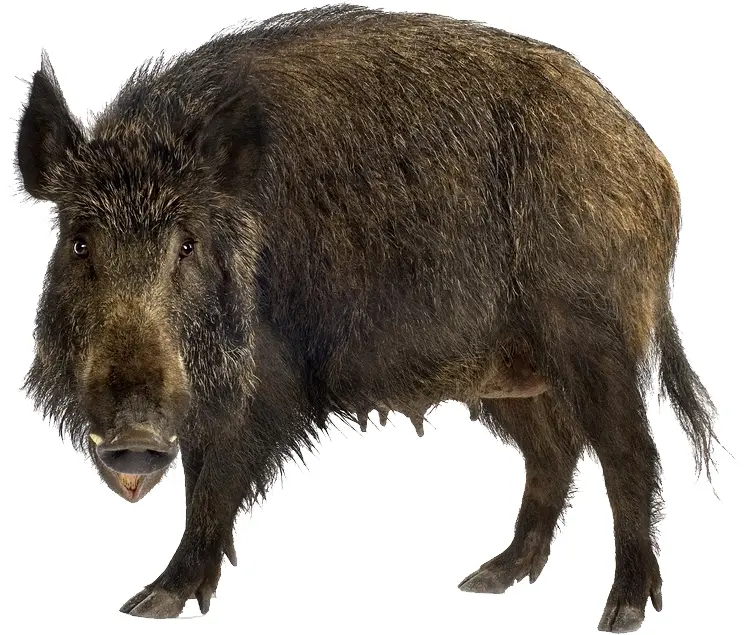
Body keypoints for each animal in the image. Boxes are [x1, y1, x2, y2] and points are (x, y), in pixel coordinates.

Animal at [16, 5, 717, 632]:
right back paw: (484, 580)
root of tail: (656, 169)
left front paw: (149, 604)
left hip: (591, 334)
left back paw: (620, 613)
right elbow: (198, 474)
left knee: (630, 453)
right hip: (507, 372)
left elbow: (214, 479)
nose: (134, 438)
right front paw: (141, 604)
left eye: (187, 245)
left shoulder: (264, 380)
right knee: (554, 450)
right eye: (79, 243)